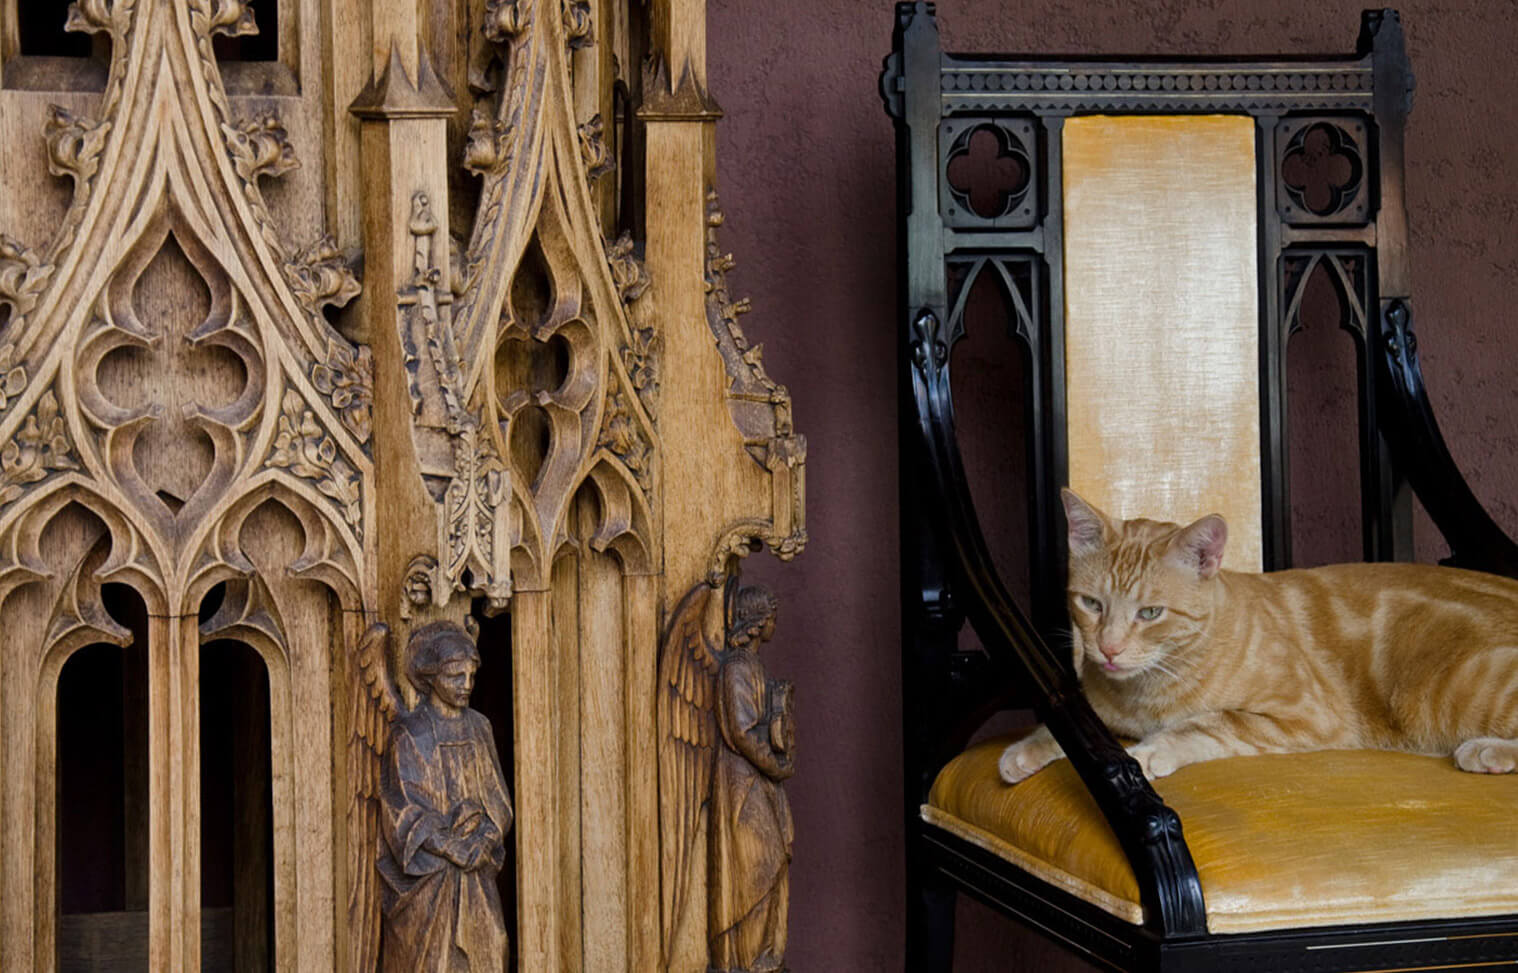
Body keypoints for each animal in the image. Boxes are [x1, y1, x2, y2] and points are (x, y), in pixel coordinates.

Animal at [995, 485, 1518, 783]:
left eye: (1150, 612)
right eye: (1092, 604)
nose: (1108, 649)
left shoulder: (1306, 715)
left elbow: (1207, 722)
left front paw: (1149, 752)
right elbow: (1074, 727)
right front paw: (1027, 749)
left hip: (1462, 686)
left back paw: (1486, 750)